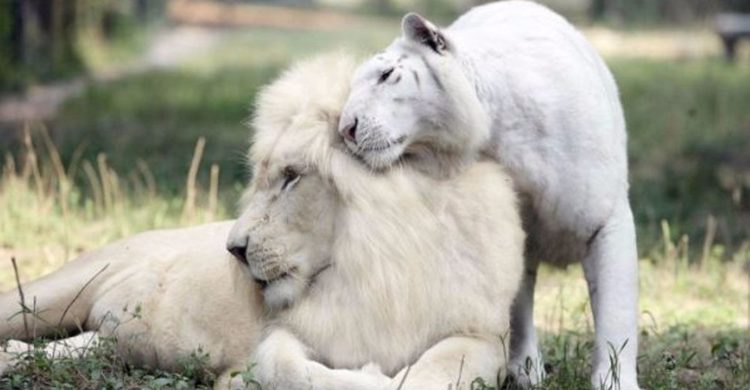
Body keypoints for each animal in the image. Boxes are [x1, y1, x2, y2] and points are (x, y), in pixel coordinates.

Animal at [2, 54, 524, 390]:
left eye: (292, 177)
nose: (233, 249)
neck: (377, 266)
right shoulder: (288, 333)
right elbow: (284, 369)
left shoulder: (482, 337)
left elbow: (432, 376)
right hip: (54, 291)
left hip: (107, 338)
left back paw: (12, 358)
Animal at [340, 1, 640, 388]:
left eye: (386, 74)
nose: (345, 129)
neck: (499, 132)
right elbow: (515, 305)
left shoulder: (607, 221)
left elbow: (616, 312)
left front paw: (616, 381)